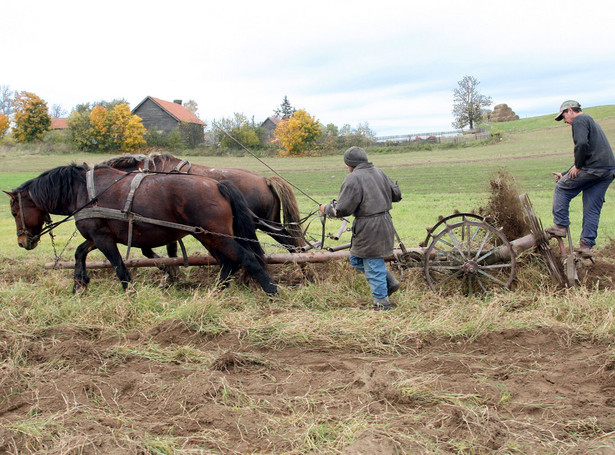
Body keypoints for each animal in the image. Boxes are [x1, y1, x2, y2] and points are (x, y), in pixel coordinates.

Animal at [4, 164, 276, 296]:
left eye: (15, 212)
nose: (22, 242)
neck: (83, 191)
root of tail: (217, 184)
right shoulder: (97, 236)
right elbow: (79, 253)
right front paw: (79, 284)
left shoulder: (103, 238)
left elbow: (118, 266)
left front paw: (130, 292)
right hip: (208, 236)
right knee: (229, 263)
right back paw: (217, 292)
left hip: (214, 235)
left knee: (247, 258)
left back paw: (271, 291)